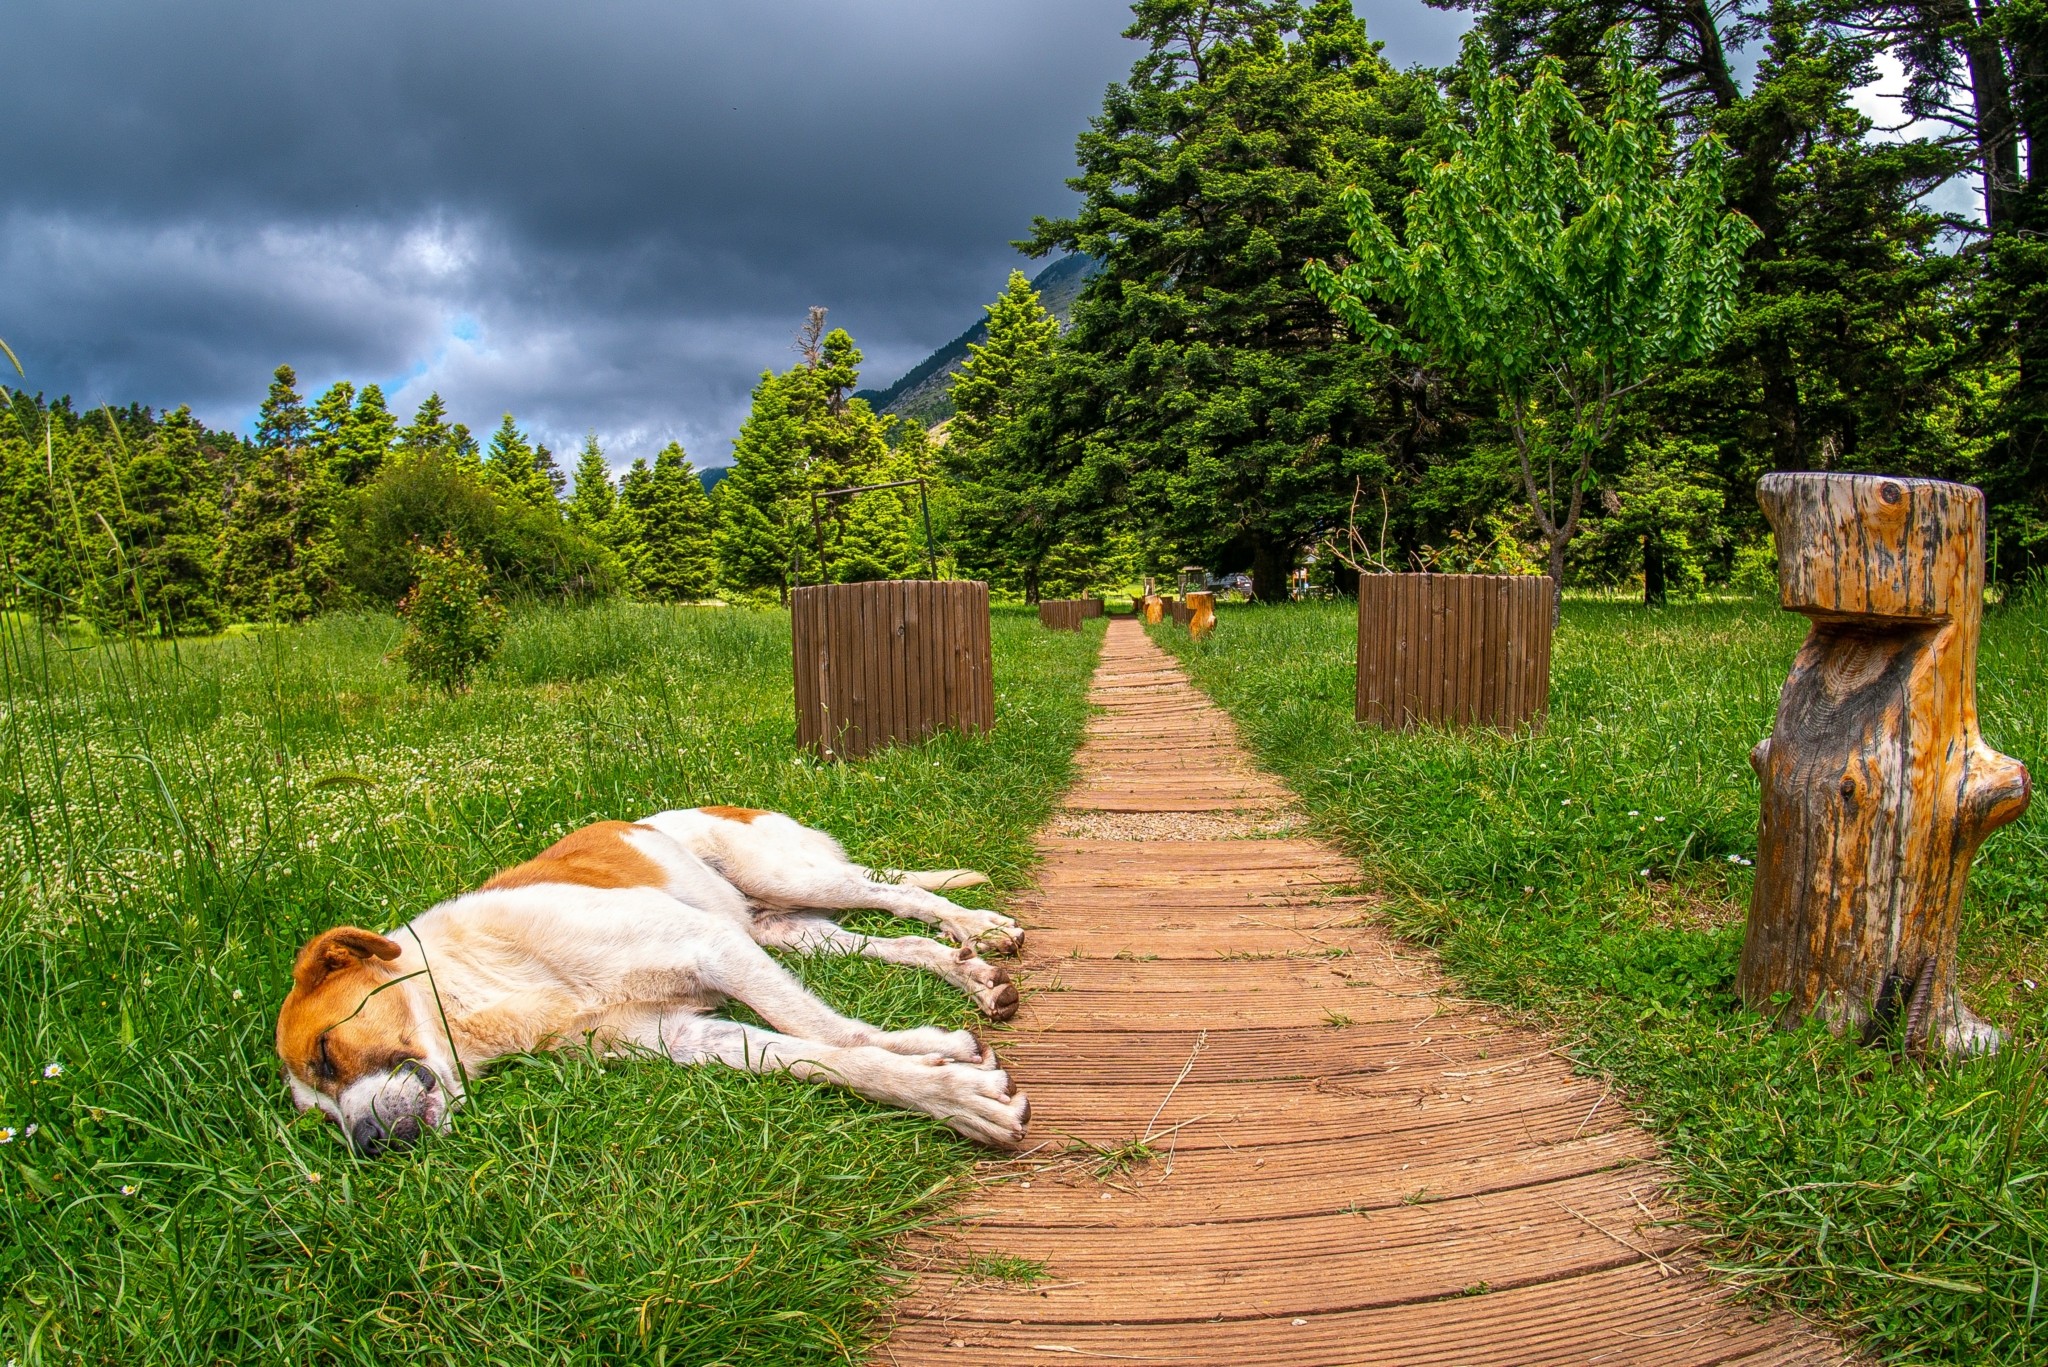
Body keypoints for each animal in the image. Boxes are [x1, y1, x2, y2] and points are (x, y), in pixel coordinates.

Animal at [276, 807, 1024, 1164]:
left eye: (325, 1053)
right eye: (319, 1118)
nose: (367, 1144)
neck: (475, 993)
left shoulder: (714, 950)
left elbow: (821, 1028)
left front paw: (942, 1080)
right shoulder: (686, 1033)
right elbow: (828, 1052)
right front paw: (934, 1070)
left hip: (787, 879)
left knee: (899, 896)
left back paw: (978, 925)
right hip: (783, 928)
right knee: (900, 942)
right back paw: (969, 973)